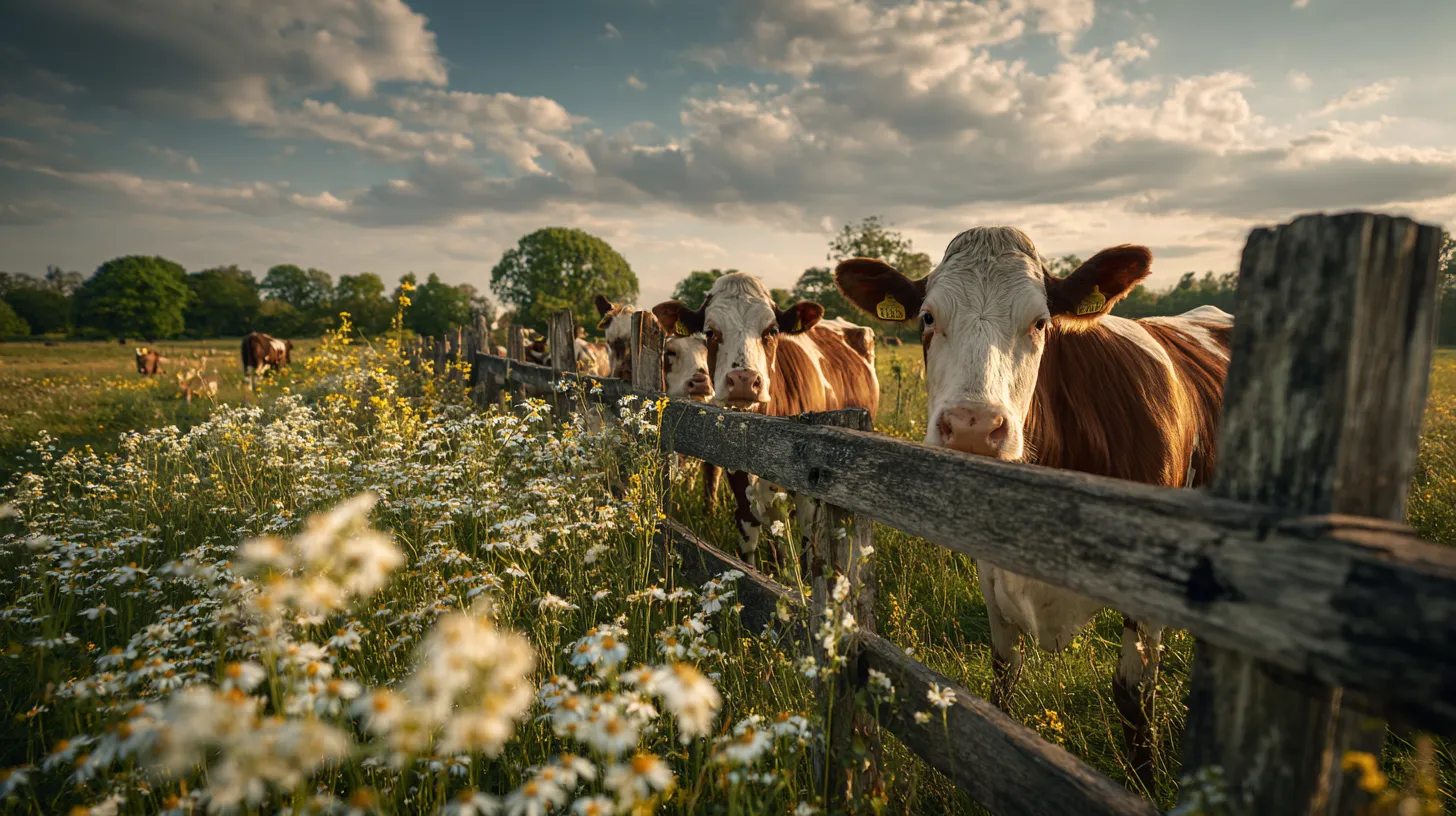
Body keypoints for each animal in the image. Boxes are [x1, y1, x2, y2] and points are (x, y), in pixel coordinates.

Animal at [652, 272, 879, 567]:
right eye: (710, 332)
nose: (743, 380)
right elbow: (752, 546)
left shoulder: (810, 498)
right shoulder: (741, 490)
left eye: (771, 331)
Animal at [834, 226, 1232, 794]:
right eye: (927, 318)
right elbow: (1004, 674)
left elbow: (1132, 697)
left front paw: (1144, 789)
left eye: (1041, 322)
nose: (974, 426)